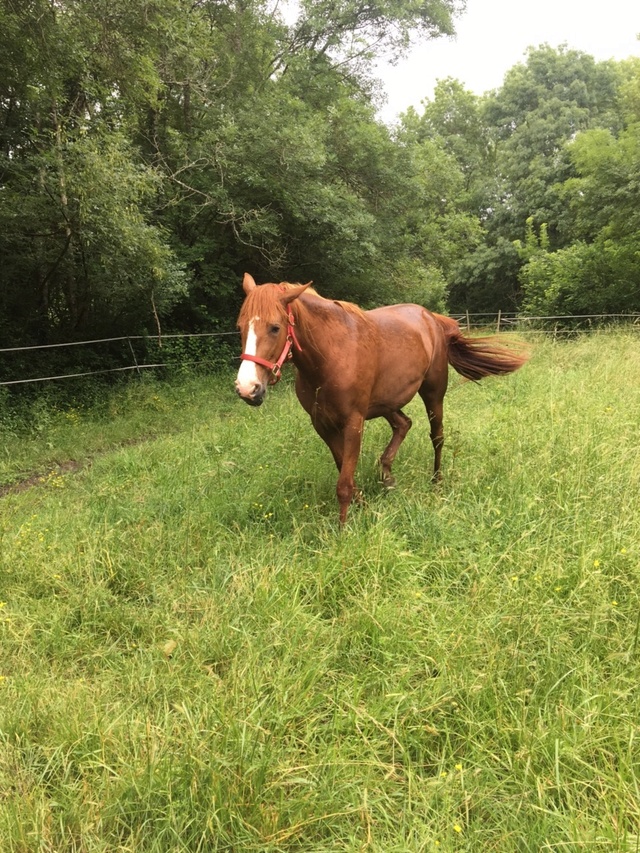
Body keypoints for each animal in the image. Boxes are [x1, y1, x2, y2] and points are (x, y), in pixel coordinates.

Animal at [235, 272, 524, 524]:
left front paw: (343, 531)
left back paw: (436, 483)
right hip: (387, 402)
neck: (330, 355)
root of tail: (432, 319)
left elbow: (343, 483)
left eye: (275, 328)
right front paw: (362, 504)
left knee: (437, 436)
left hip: (433, 394)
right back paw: (388, 477)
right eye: (240, 327)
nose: (248, 388)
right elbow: (343, 469)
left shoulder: (354, 422)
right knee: (403, 424)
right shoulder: (322, 424)